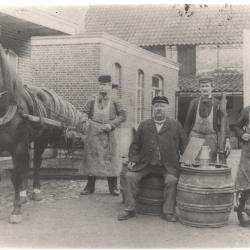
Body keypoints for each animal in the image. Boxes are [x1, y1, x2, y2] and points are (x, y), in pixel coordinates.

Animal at [0, 44, 86, 224]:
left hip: (41, 140)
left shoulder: (17, 146)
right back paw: (24, 194)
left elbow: (16, 176)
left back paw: (36, 192)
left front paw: (16, 211)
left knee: (36, 164)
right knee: (27, 166)